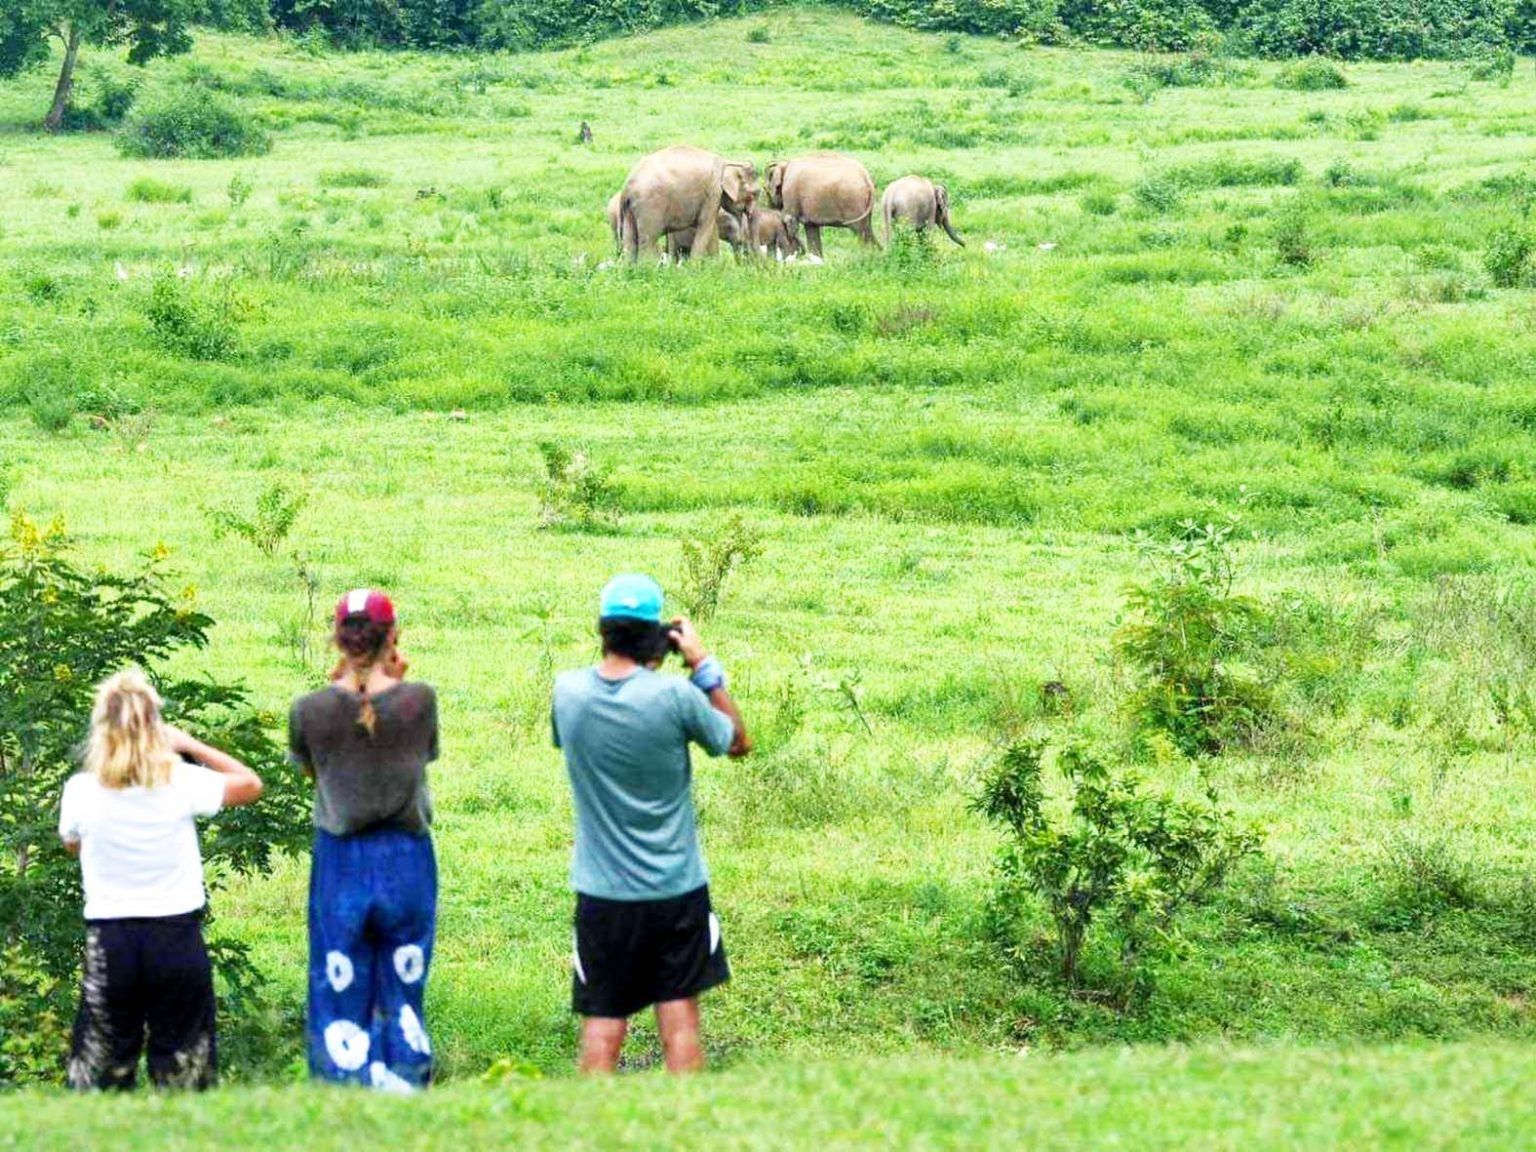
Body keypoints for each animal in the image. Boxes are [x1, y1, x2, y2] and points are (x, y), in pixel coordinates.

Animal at [611, 144, 755, 264]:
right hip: (649, 208)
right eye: (755, 193)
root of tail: (626, 188)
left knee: (630, 241)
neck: (729, 162)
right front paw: (697, 268)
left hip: (628, 211)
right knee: (648, 240)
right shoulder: (713, 192)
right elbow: (706, 224)